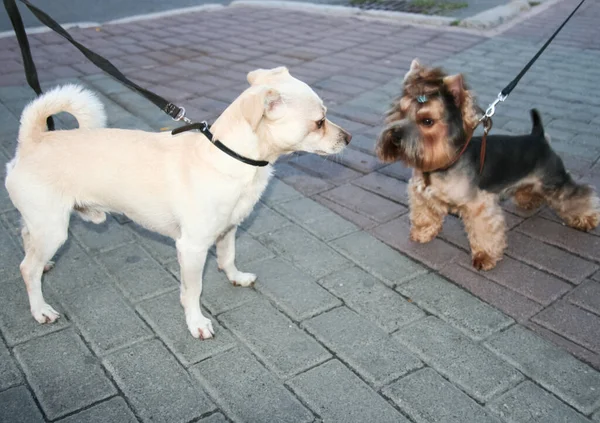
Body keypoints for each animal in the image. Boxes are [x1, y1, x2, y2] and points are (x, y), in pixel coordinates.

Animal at [5, 68, 352, 342]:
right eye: (319, 122)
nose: (349, 138)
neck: (231, 158)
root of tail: (32, 140)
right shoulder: (192, 247)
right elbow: (193, 290)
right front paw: (196, 323)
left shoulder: (228, 230)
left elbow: (227, 258)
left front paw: (236, 277)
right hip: (54, 228)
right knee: (25, 268)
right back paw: (40, 309)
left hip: (41, 224)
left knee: (27, 243)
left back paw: (44, 267)